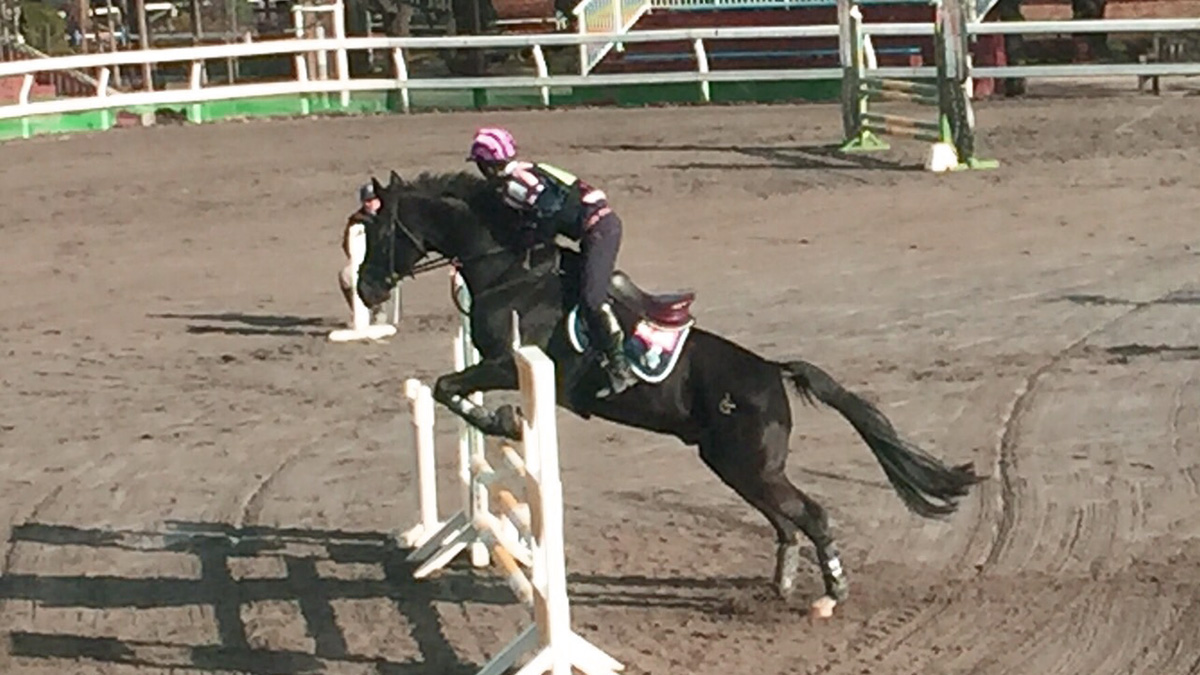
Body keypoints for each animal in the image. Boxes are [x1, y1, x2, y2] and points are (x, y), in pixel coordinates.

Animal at [356, 169, 984, 614]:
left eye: (379, 233)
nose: (365, 290)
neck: (510, 268)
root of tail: (771, 371)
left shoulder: (511, 366)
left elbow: (448, 388)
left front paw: (505, 421)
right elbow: (447, 388)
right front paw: (501, 420)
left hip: (748, 463)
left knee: (812, 513)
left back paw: (831, 594)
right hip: (735, 466)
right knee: (787, 522)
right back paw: (781, 586)